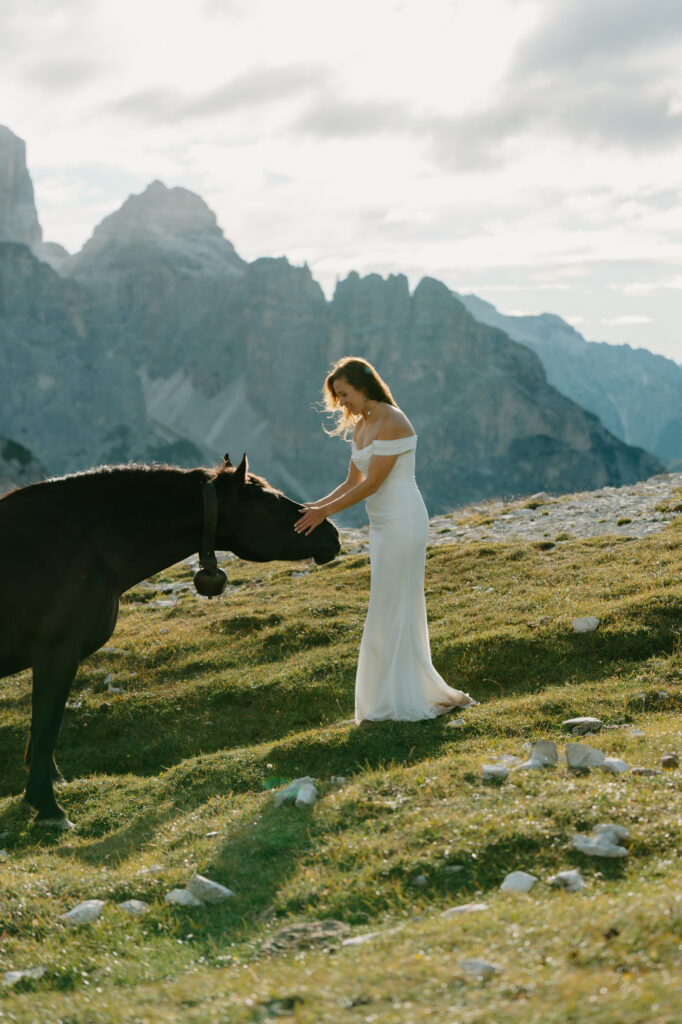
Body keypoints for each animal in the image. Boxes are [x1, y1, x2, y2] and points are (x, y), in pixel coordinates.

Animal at [0, 456, 339, 823]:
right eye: (269, 499)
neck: (86, 544)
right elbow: (46, 726)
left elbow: (43, 726)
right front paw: (48, 807)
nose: (331, 533)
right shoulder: (57, 651)